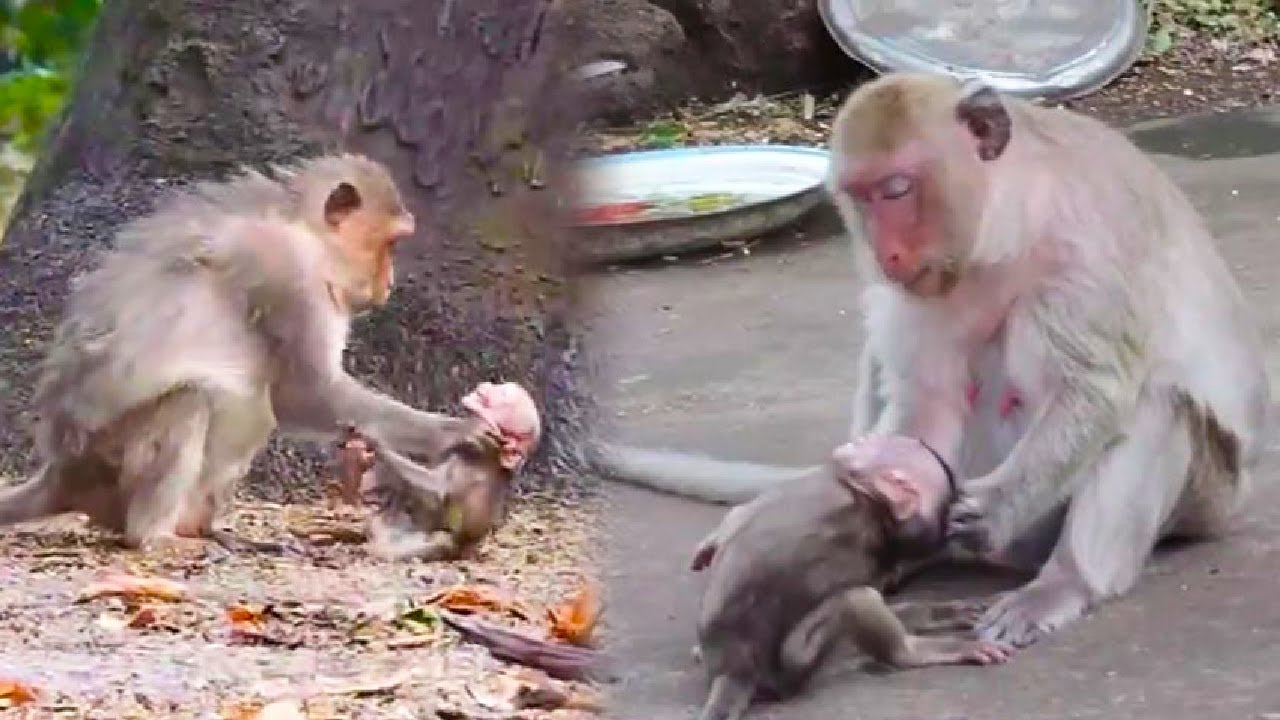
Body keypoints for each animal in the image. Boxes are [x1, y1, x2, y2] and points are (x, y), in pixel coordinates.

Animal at [0, 154, 501, 553]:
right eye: (392, 242)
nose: (390, 282)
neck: (306, 232)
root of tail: (63, 472)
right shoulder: (290, 277)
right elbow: (306, 392)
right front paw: (453, 432)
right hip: (110, 460)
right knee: (196, 402)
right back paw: (154, 535)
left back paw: (205, 528)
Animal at [337, 381, 542, 561]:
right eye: (499, 388)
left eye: (502, 395)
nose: (485, 386)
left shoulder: (474, 462)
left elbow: (437, 496)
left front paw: (374, 444)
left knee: (441, 540)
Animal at [694, 434, 1012, 720]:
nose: (856, 441)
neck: (872, 504)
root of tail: (733, 670)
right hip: (789, 669)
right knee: (859, 597)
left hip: (791, 667)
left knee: (857, 598)